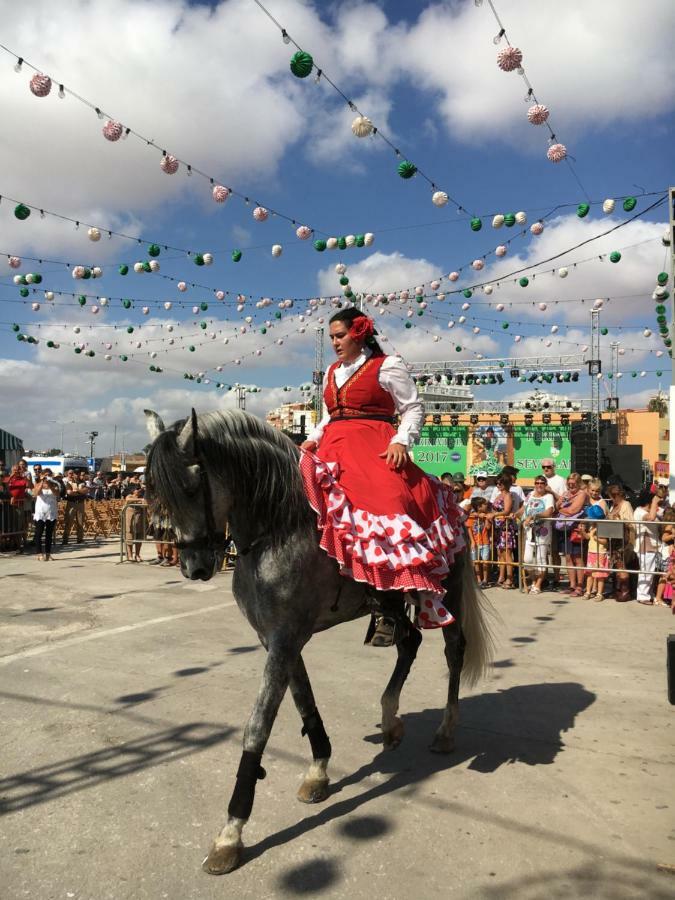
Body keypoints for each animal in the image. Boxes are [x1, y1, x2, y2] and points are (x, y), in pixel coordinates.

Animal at [144, 406, 492, 872]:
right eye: (156, 492)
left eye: (191, 486)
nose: (195, 567)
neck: (279, 527)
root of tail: (453, 501)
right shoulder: (277, 638)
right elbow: (303, 700)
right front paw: (318, 771)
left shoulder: (285, 638)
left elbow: (258, 726)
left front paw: (231, 832)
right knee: (409, 644)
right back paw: (390, 720)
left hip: (448, 593)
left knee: (454, 652)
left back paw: (445, 731)